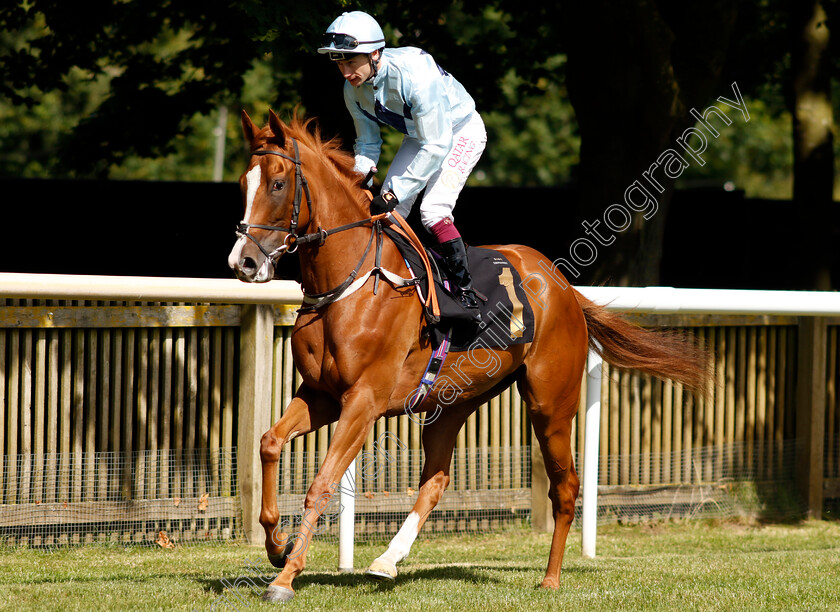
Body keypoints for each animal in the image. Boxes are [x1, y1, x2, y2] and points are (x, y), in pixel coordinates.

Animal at [226, 110, 704, 604]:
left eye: (277, 184)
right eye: (244, 183)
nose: (243, 262)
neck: (351, 283)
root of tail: (564, 287)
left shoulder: (363, 400)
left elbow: (321, 483)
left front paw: (285, 578)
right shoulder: (322, 394)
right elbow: (269, 442)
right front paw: (276, 544)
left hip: (550, 405)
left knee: (565, 487)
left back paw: (550, 578)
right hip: (451, 403)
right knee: (435, 481)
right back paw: (386, 561)